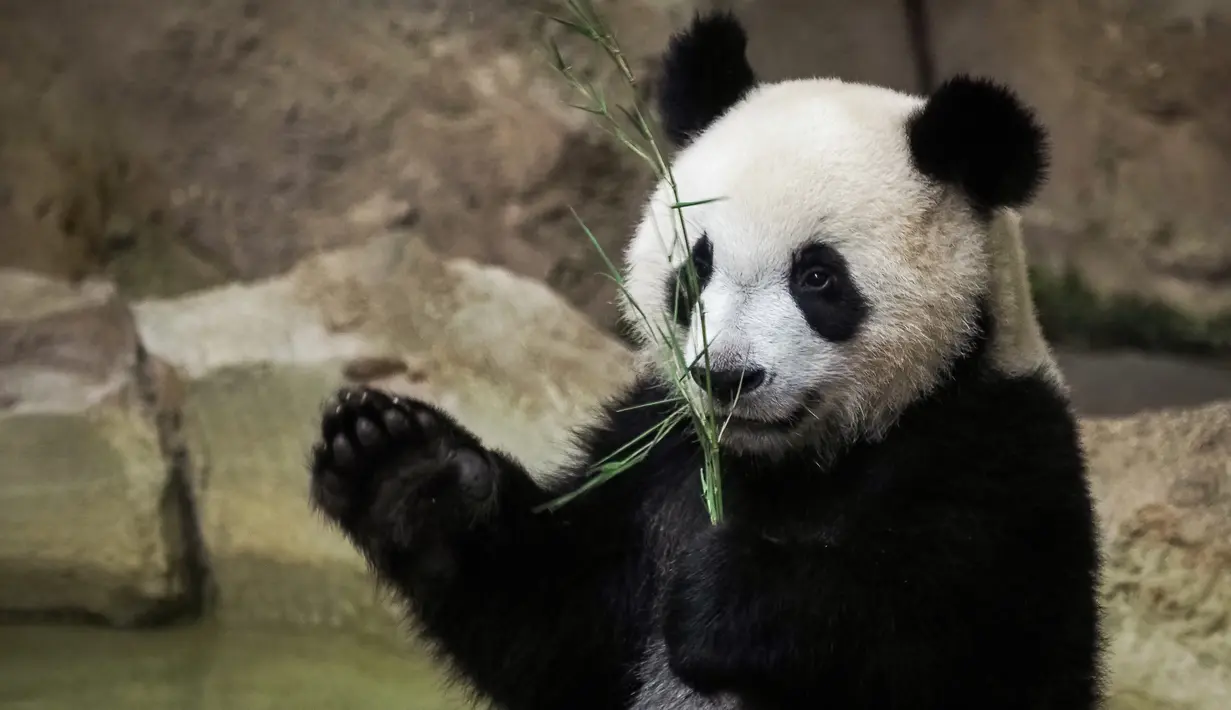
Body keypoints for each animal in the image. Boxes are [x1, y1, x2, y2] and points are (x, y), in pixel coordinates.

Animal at [308, 10, 1104, 710]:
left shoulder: (996, 457)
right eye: (696, 268)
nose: (726, 377)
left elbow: (950, 638)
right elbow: (551, 622)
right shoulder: (651, 460)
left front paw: (727, 593)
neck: (788, 464)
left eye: (819, 278)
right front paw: (404, 468)